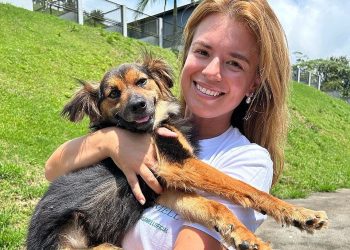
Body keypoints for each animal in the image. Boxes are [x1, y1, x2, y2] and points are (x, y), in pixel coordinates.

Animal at [26, 54, 328, 250]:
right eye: (113, 93)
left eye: (142, 81)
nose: (137, 105)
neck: (153, 124)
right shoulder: (174, 164)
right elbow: (243, 187)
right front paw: (298, 212)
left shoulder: (164, 187)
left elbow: (214, 205)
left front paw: (245, 236)